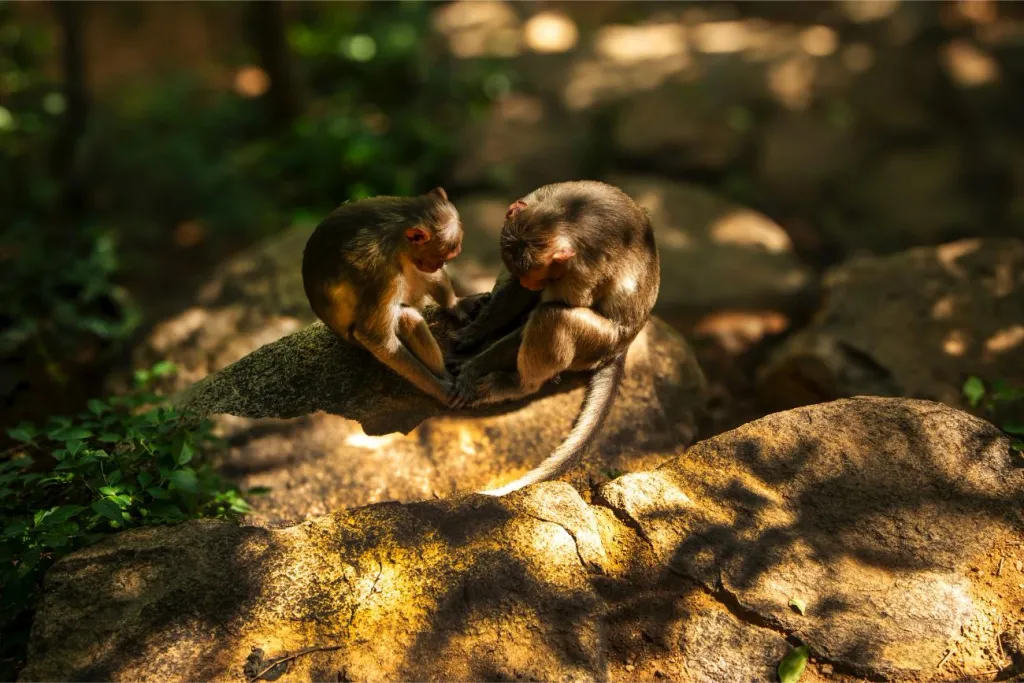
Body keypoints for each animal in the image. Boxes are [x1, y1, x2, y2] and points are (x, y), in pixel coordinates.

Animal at [296, 187, 471, 405]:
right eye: (440, 258)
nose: (438, 266)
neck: (394, 232)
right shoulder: (381, 274)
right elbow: (375, 337)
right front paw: (439, 388)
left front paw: (454, 304)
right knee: (406, 316)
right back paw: (443, 374)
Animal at [446, 179, 655, 493]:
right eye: (530, 275)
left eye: (544, 273)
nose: (532, 283)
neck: (564, 217)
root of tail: (624, 344)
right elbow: (515, 291)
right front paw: (475, 331)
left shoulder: (580, 271)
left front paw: (474, 368)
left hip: (600, 343)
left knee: (553, 316)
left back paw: (519, 385)